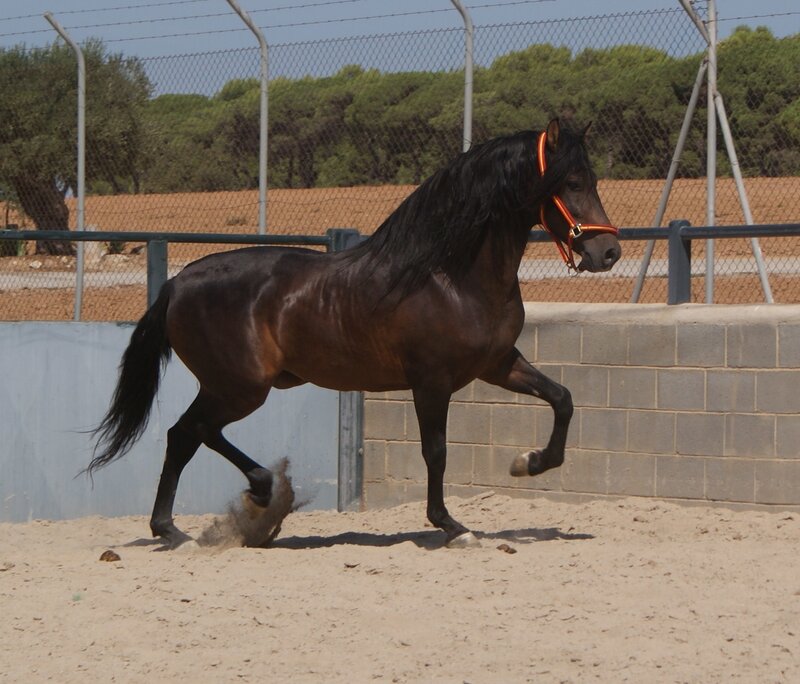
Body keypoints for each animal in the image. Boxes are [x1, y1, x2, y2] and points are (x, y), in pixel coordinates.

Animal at [90, 118, 621, 549]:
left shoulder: (498, 364)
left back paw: (187, 524)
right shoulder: (431, 381)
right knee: (191, 431)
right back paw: (245, 500)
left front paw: (528, 462)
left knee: (188, 435)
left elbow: (563, 398)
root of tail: (177, 283)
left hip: (233, 387)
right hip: (240, 386)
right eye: (571, 182)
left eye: (593, 180)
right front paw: (452, 526)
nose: (609, 253)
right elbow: (436, 452)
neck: (450, 275)